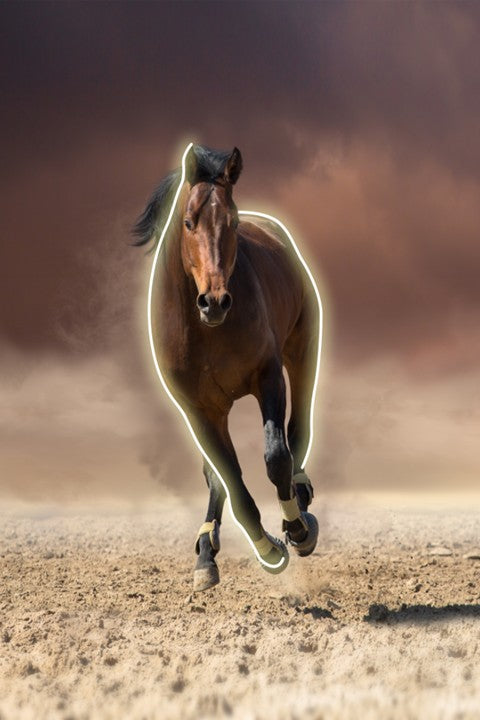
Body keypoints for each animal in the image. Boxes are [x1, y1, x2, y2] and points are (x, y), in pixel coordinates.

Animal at [133, 144, 321, 592]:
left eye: (231, 223)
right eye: (188, 222)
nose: (215, 301)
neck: (207, 332)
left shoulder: (268, 376)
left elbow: (276, 456)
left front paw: (296, 529)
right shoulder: (199, 410)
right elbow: (228, 476)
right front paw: (265, 548)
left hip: (302, 350)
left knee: (298, 430)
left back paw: (302, 498)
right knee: (217, 474)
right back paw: (206, 550)